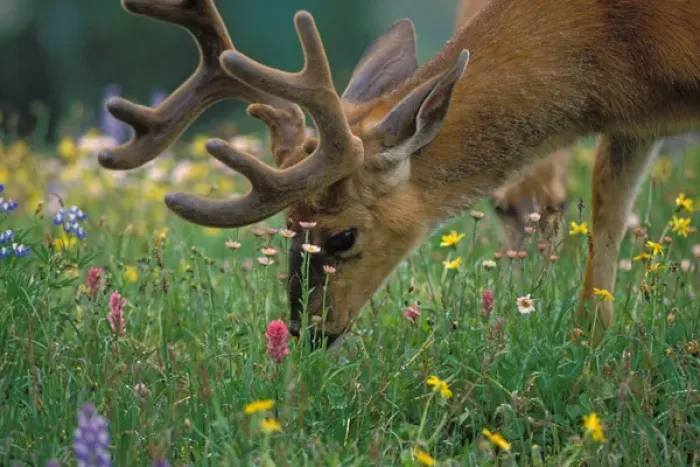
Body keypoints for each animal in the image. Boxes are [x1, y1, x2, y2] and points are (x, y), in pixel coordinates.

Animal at [99, 0, 700, 347]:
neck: (618, 43)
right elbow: (605, 221)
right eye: (288, 228)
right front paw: (590, 346)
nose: (305, 333)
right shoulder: (635, 122)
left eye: (342, 236)